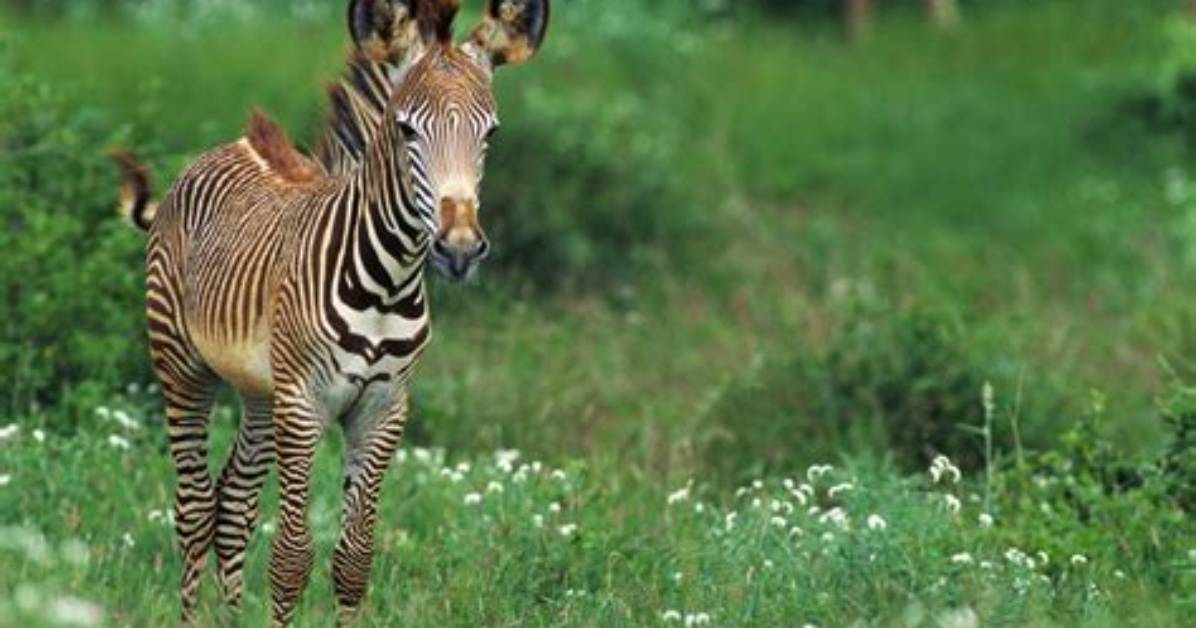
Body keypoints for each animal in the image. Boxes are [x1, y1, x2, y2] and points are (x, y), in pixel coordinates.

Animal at [110, 0, 549, 624]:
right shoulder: (305, 404)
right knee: (195, 509)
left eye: (490, 132)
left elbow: (355, 560)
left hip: (261, 390)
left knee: (234, 504)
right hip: (183, 365)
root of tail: (225, 147)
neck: (385, 286)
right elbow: (293, 558)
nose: (460, 249)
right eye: (406, 128)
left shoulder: (383, 410)